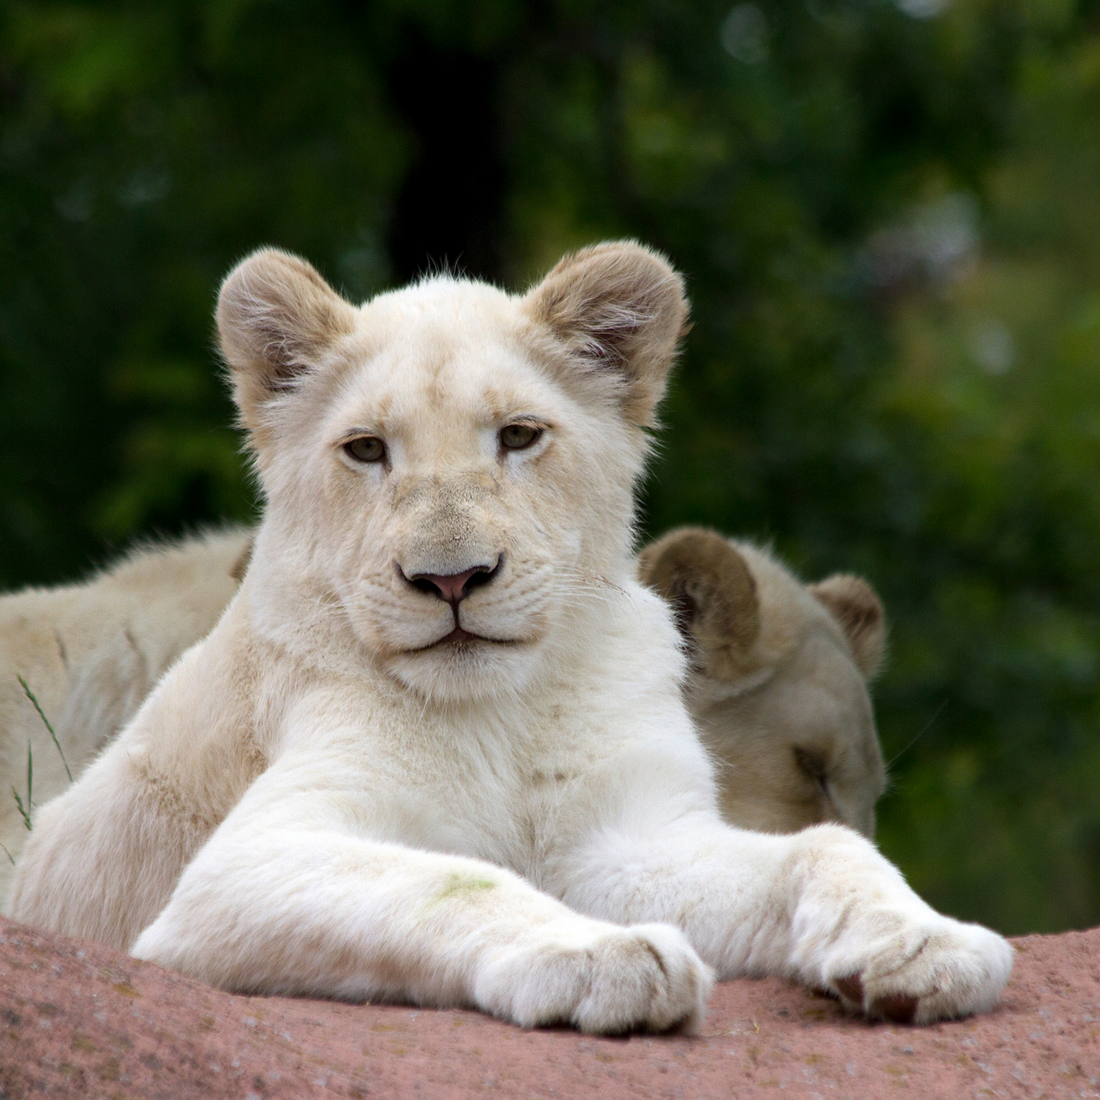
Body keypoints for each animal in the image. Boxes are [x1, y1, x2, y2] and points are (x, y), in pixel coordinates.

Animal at [8, 243, 1007, 1029]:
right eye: (366, 449)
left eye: (520, 436)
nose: (451, 579)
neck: (506, 714)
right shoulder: (233, 873)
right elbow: (457, 878)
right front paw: (612, 960)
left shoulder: (623, 836)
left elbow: (824, 849)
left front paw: (927, 944)